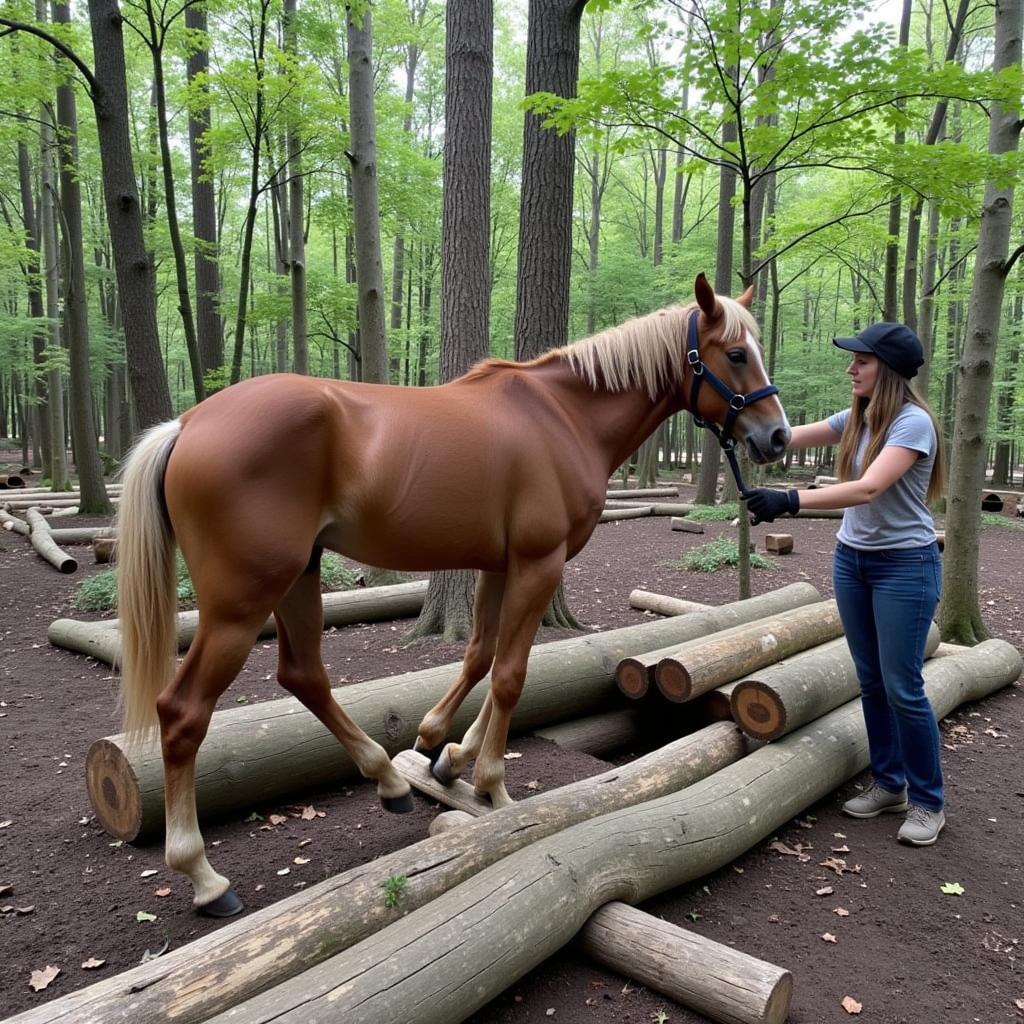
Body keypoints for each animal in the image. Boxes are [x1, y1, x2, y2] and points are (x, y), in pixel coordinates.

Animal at [117, 272, 790, 913]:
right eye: (736, 354)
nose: (779, 437)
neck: (563, 417)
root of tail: (188, 424)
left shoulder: (499, 566)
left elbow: (482, 658)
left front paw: (445, 751)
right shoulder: (538, 564)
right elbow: (513, 673)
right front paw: (493, 783)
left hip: (299, 576)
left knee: (303, 674)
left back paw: (389, 782)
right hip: (242, 602)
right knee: (183, 712)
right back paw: (204, 877)